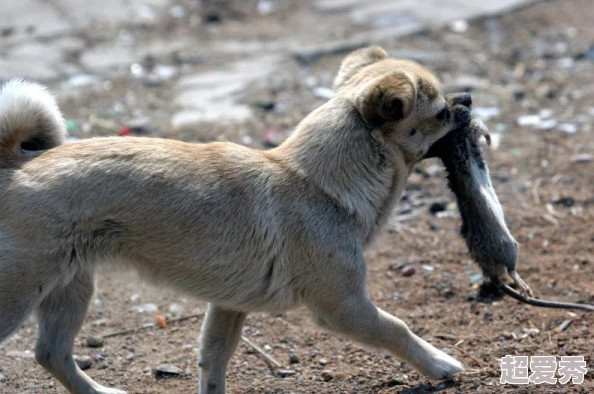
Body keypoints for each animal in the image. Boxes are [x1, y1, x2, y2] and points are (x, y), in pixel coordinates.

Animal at [0, 47, 474, 394]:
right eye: (441, 113)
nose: (467, 99)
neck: (317, 183)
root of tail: (12, 166)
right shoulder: (345, 307)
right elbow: (397, 328)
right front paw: (440, 364)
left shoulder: (228, 307)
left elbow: (214, 361)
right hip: (22, 293)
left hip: (71, 287)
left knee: (51, 353)